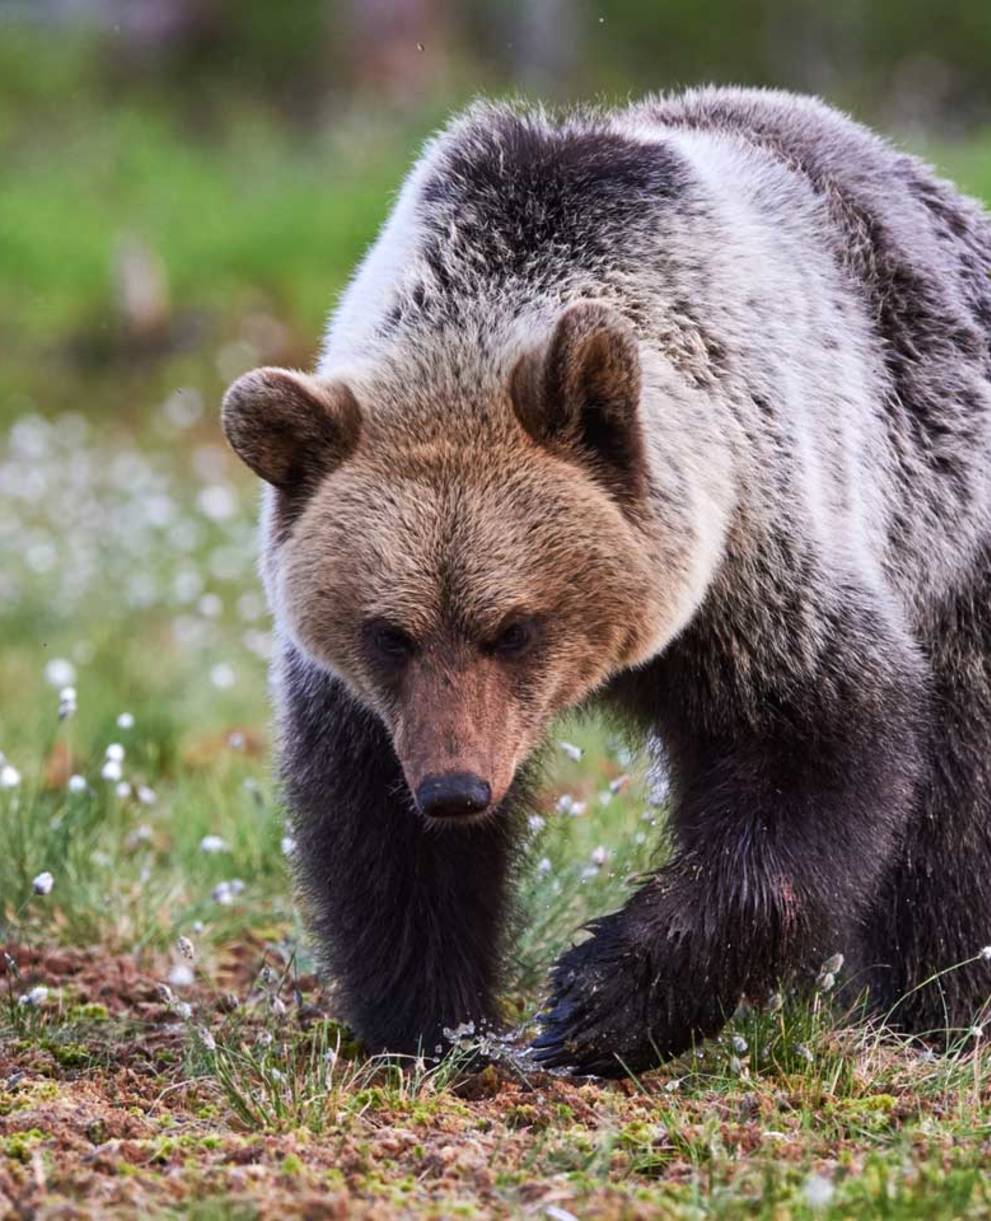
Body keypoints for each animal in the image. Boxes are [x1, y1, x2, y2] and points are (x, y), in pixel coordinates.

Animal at [221, 87, 991, 1076]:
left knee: (953, 808)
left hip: (945, 520)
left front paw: (599, 1000)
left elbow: (814, 751)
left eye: (514, 626)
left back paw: (935, 1006)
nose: (455, 788)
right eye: (389, 633)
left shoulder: (759, 557)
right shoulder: (371, 698)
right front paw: (433, 1020)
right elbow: (375, 832)